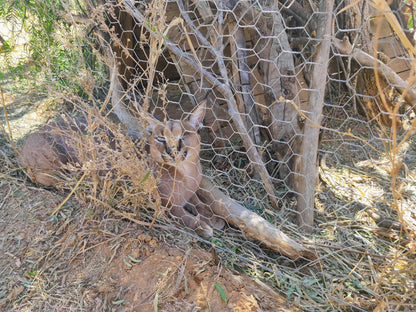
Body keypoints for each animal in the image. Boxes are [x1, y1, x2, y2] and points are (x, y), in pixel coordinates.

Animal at [20, 101, 224, 238]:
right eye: (160, 138)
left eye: (184, 135)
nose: (172, 151)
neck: (185, 172)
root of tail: (30, 135)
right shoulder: (165, 206)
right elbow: (185, 217)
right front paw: (203, 227)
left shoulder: (191, 192)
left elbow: (201, 203)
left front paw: (214, 218)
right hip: (57, 168)